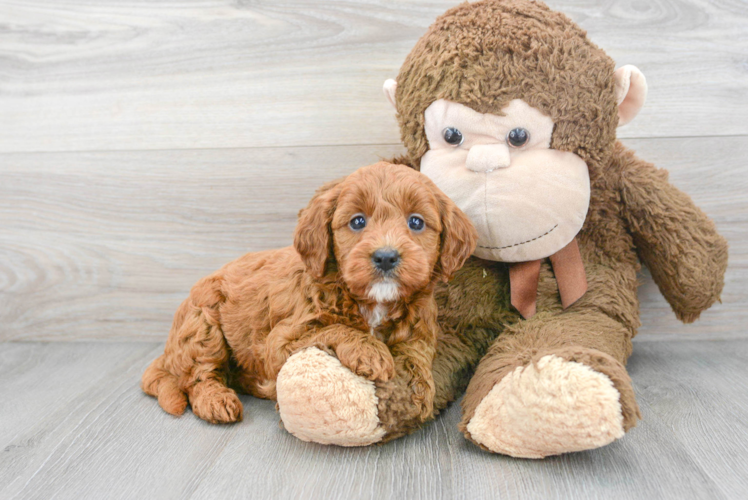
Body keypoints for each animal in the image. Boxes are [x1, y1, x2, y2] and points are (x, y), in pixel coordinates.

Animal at [143, 162, 476, 424]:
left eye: (416, 222)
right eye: (357, 221)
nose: (385, 257)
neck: (372, 301)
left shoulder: (420, 329)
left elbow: (416, 353)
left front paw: (421, 390)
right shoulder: (281, 340)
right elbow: (334, 328)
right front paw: (369, 350)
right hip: (202, 326)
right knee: (200, 375)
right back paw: (216, 401)